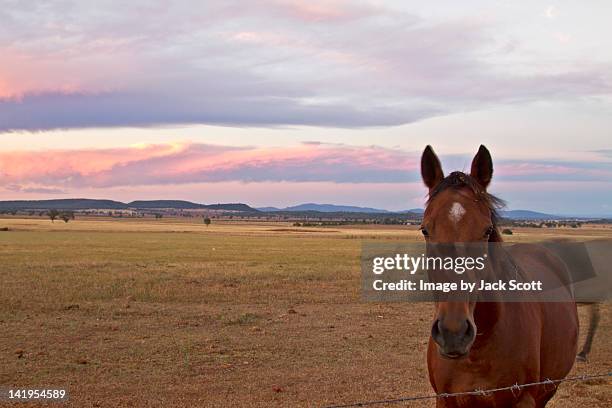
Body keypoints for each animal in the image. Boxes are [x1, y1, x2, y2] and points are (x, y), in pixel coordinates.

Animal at [420, 147, 580, 408]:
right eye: (425, 229)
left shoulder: (524, 399)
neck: (477, 353)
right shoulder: (444, 400)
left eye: (487, 230)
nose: (453, 333)